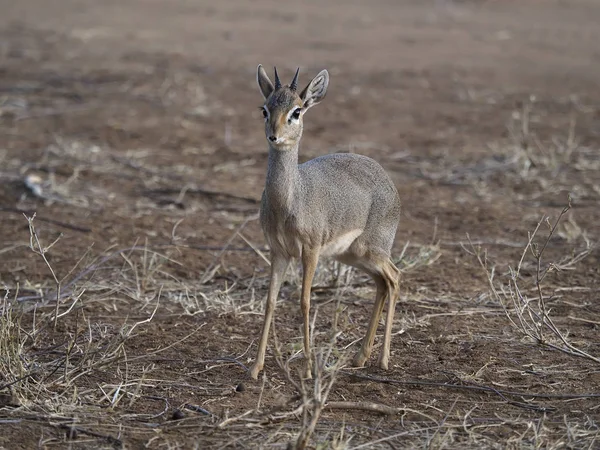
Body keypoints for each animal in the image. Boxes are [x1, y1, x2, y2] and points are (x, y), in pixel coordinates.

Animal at [251, 64, 400, 380]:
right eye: (265, 109)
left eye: (297, 111)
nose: (274, 136)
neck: (290, 200)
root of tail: (386, 177)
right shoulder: (278, 252)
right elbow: (270, 302)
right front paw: (255, 367)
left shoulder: (311, 251)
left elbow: (305, 301)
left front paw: (308, 369)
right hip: (353, 256)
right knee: (382, 284)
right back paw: (359, 357)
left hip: (373, 251)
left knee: (395, 278)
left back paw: (382, 360)